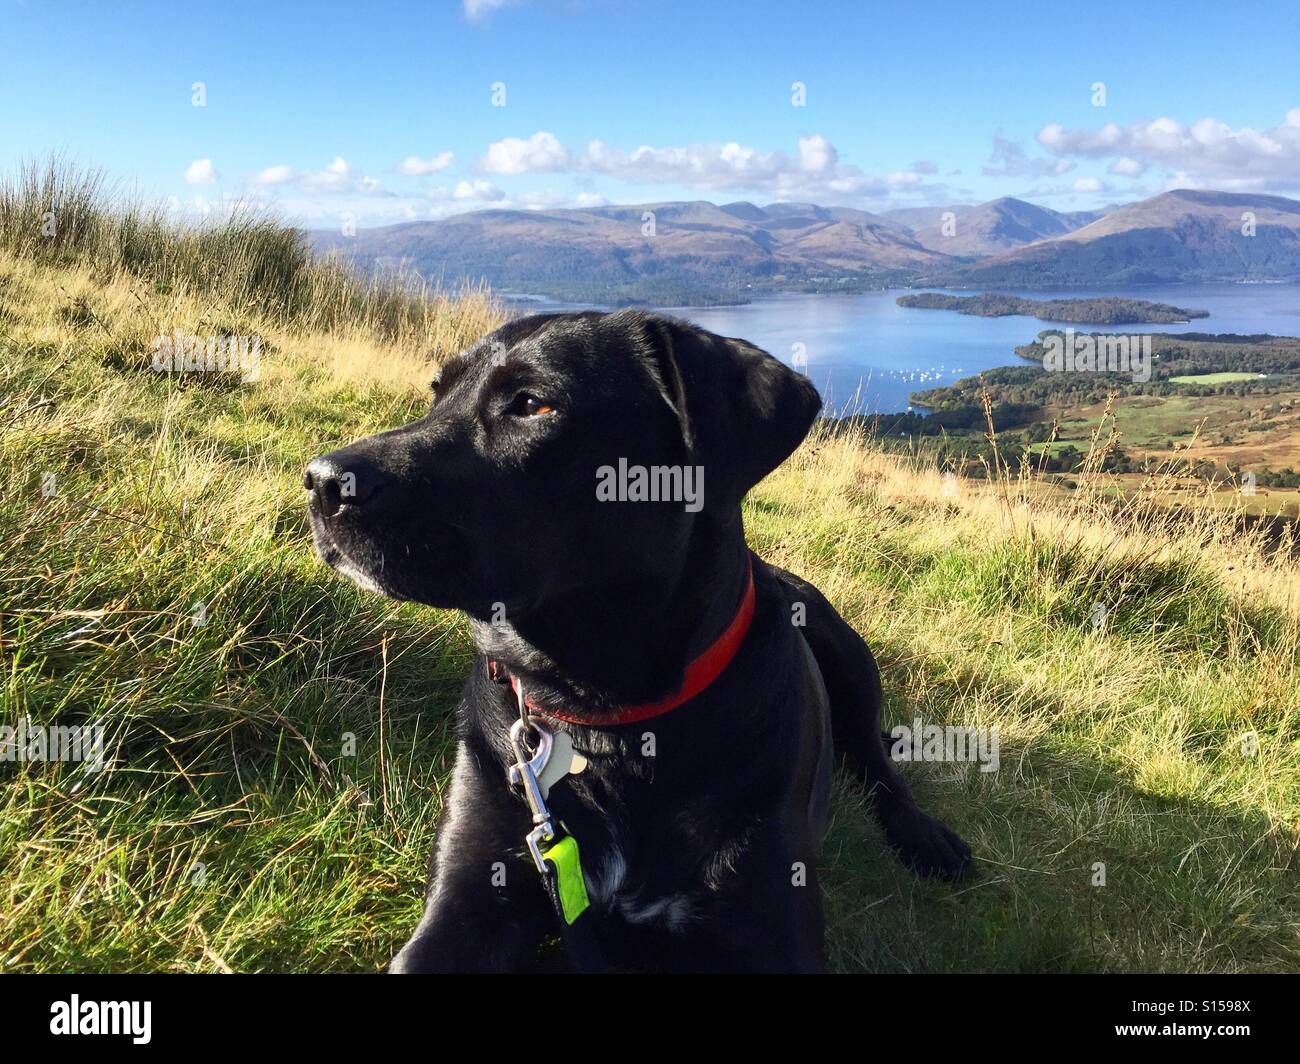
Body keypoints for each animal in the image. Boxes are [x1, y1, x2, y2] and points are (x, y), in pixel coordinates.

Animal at [306, 308, 967, 967]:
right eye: (436, 392)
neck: (602, 713)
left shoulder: (774, 928)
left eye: (532, 404)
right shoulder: (466, 897)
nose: (321, 481)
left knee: (878, 760)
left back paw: (925, 837)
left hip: (847, 654)